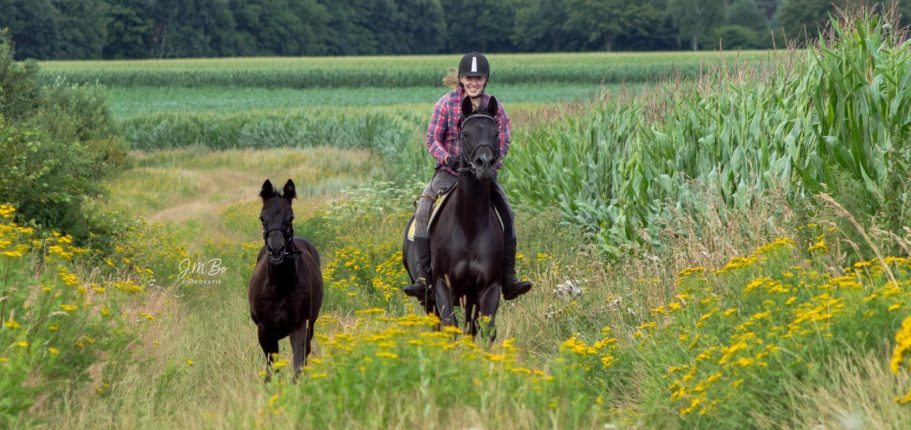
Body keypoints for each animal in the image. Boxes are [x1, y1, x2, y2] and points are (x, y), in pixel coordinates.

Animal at [248, 179, 323, 382]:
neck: (279, 286)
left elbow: (298, 363)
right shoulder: (264, 330)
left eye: (290, 217)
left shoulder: (300, 327)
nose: (276, 250)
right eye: (262, 217)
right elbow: (271, 366)